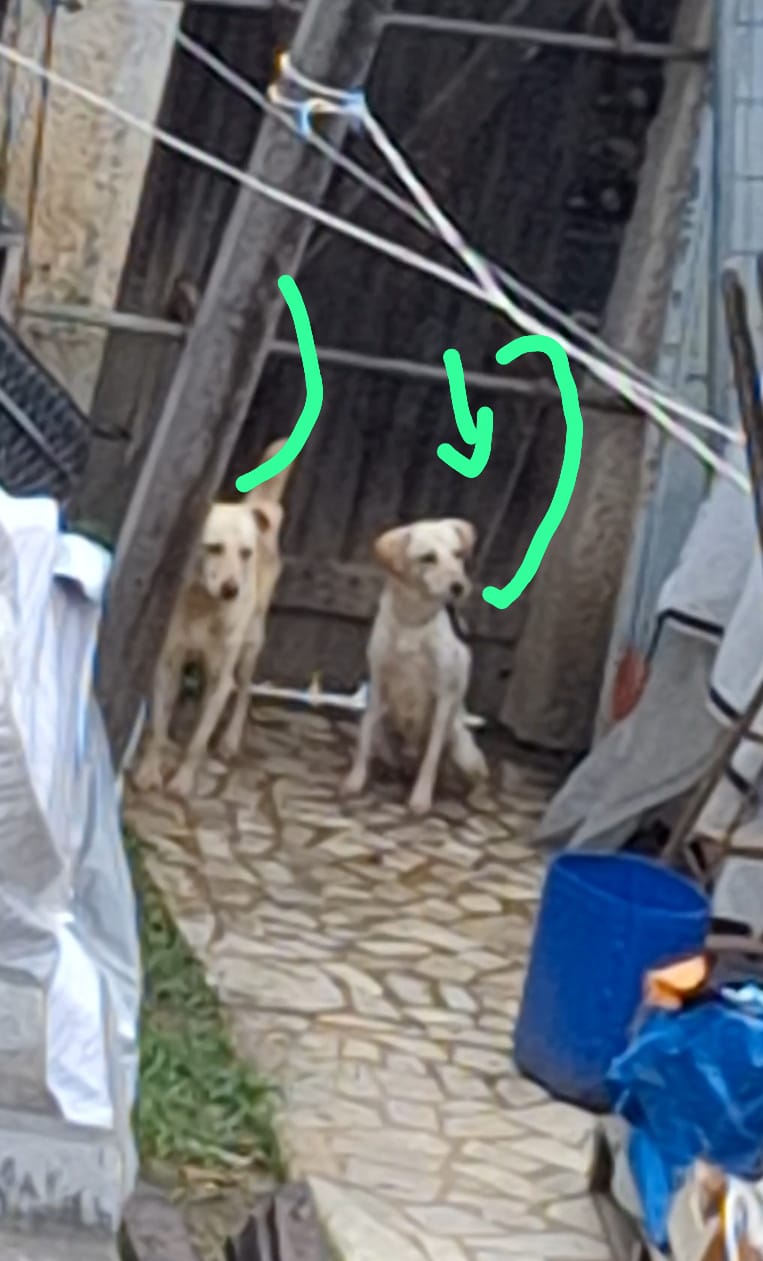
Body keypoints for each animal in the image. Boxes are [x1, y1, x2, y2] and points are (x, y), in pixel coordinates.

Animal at [134, 438, 293, 797]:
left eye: (246, 553)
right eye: (213, 548)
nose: (232, 590)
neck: (203, 606)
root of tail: (258, 506)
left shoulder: (221, 679)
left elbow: (198, 742)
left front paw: (183, 780)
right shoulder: (167, 665)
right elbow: (158, 728)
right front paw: (151, 770)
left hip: (249, 649)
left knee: (244, 692)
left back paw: (229, 740)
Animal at [343, 517, 488, 814]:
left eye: (458, 554)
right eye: (428, 558)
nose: (459, 586)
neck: (413, 620)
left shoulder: (444, 696)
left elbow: (431, 757)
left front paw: (421, 799)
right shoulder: (378, 683)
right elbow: (363, 743)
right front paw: (355, 781)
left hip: (462, 750)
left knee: (479, 777)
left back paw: (476, 797)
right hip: (383, 735)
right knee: (382, 752)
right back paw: (388, 772)